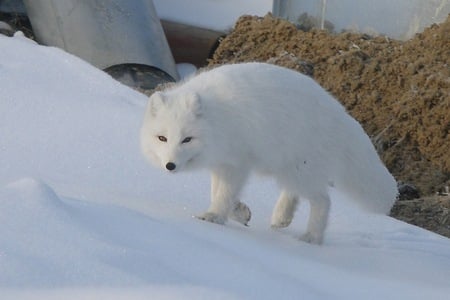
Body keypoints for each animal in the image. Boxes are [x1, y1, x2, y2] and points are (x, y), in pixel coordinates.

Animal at [141, 62, 398, 244]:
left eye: (187, 139)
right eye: (162, 138)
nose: (170, 166)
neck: (217, 118)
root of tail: (341, 114)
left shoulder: (237, 163)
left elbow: (223, 194)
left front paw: (213, 216)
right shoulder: (222, 163)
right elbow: (220, 193)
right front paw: (240, 213)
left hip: (299, 171)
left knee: (323, 201)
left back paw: (311, 238)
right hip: (287, 168)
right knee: (294, 194)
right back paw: (281, 218)